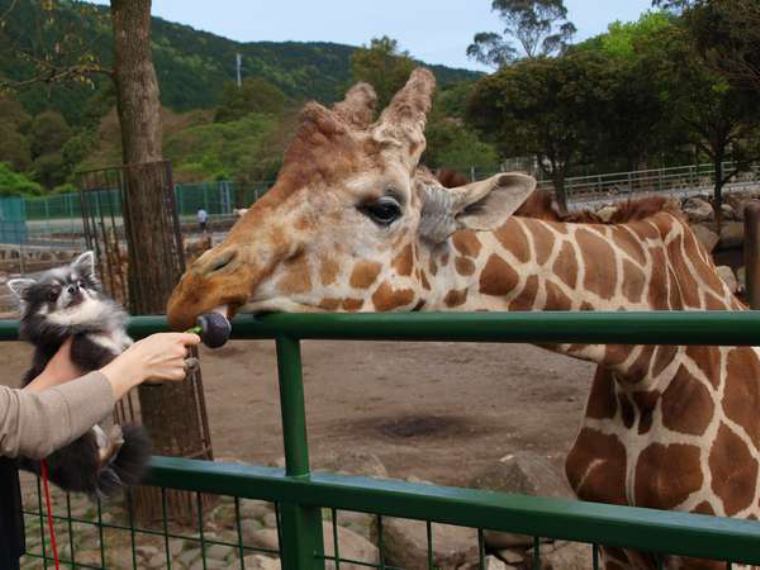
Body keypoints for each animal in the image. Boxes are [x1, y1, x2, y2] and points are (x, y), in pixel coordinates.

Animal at [8, 251, 151, 494]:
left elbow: (130, 348)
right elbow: (117, 358)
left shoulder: (121, 342)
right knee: (96, 463)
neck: (81, 320)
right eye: (53, 293)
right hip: (79, 432)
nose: (74, 288)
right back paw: (114, 444)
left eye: (81, 283)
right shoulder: (89, 349)